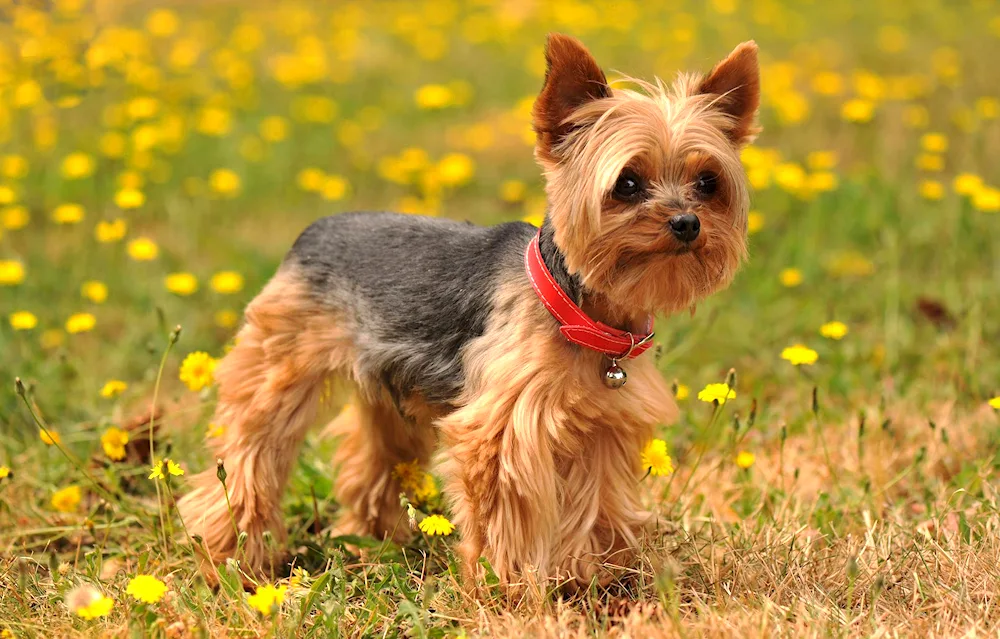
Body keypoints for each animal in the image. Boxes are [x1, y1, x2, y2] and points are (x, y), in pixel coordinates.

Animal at [180, 33, 756, 592]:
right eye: (628, 183)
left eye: (708, 183)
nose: (686, 222)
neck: (579, 306)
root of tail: (315, 228)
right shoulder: (504, 428)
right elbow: (509, 512)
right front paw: (512, 587)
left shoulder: (605, 428)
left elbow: (596, 503)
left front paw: (598, 578)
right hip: (278, 362)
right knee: (251, 451)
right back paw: (230, 558)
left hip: (393, 393)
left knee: (373, 460)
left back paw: (374, 541)